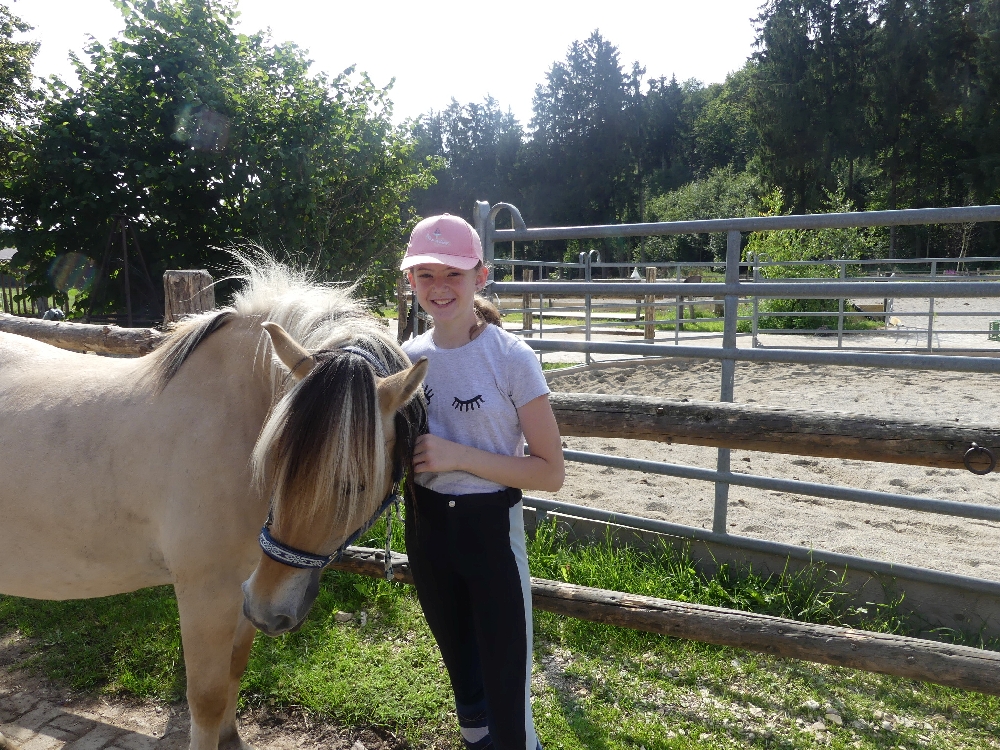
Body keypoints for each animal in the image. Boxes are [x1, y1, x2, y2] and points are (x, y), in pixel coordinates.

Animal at [0, 259, 428, 750]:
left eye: (356, 485)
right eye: (273, 462)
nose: (272, 613)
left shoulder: (245, 586)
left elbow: (234, 671)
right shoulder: (206, 594)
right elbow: (205, 697)